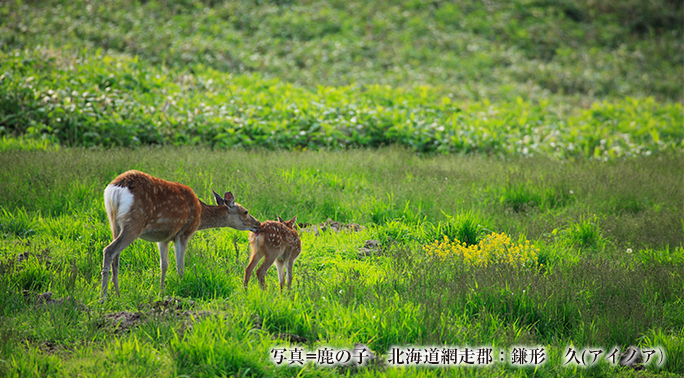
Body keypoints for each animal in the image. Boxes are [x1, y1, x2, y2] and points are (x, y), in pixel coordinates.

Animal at [101, 170, 262, 300]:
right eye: (246, 211)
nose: (258, 223)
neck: (200, 215)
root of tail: (116, 189)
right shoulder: (184, 233)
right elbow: (180, 265)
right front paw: (183, 288)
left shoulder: (163, 237)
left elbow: (164, 265)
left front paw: (161, 291)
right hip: (136, 221)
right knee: (109, 250)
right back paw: (103, 297)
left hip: (113, 221)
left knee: (116, 257)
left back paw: (117, 294)